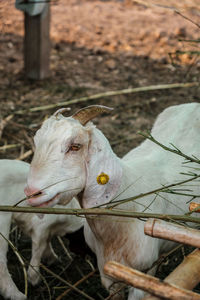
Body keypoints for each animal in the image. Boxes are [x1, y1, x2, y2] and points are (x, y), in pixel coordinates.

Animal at [0, 159, 83, 300]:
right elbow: (39, 246)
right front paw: (34, 280)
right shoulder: (41, 225)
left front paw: (54, 260)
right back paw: (19, 295)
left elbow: (47, 242)